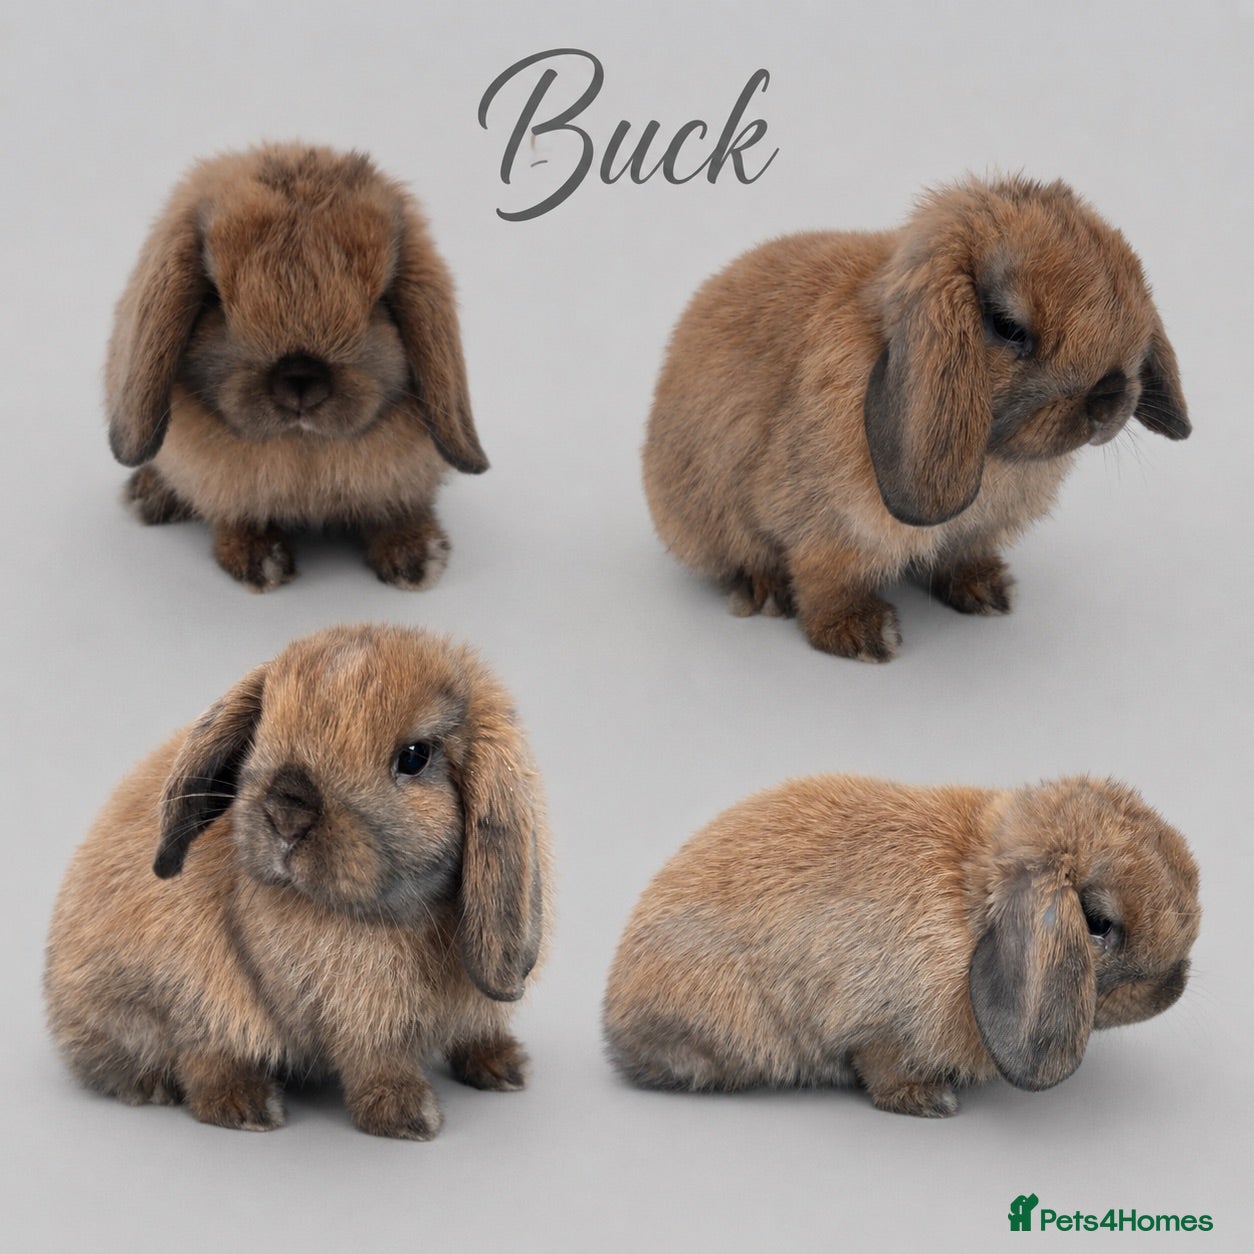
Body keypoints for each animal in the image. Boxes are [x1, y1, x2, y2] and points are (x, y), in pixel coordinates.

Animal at [44, 623, 550, 1140]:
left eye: (414, 757)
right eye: (262, 731)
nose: (287, 812)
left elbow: (468, 1031)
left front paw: (503, 1065)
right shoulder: (351, 1012)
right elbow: (375, 1058)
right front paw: (406, 1115)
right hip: (178, 994)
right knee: (196, 1059)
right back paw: (244, 1105)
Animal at [106, 142, 488, 592]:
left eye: (380, 301)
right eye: (215, 297)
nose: (301, 379)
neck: (305, 453)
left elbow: (398, 509)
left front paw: (417, 559)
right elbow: (235, 516)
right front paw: (260, 563)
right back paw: (147, 496)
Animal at [603, 774, 1199, 1117]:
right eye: (1097, 923)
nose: (1172, 987)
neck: (969, 903)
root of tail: (615, 1018)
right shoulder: (882, 1025)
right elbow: (884, 1067)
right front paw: (931, 1101)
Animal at [643, 175, 1191, 660]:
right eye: (1008, 326)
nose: (1109, 400)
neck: (994, 454)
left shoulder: (972, 533)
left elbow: (959, 556)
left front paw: (990, 592)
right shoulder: (829, 531)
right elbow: (826, 582)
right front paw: (862, 635)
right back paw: (765, 591)